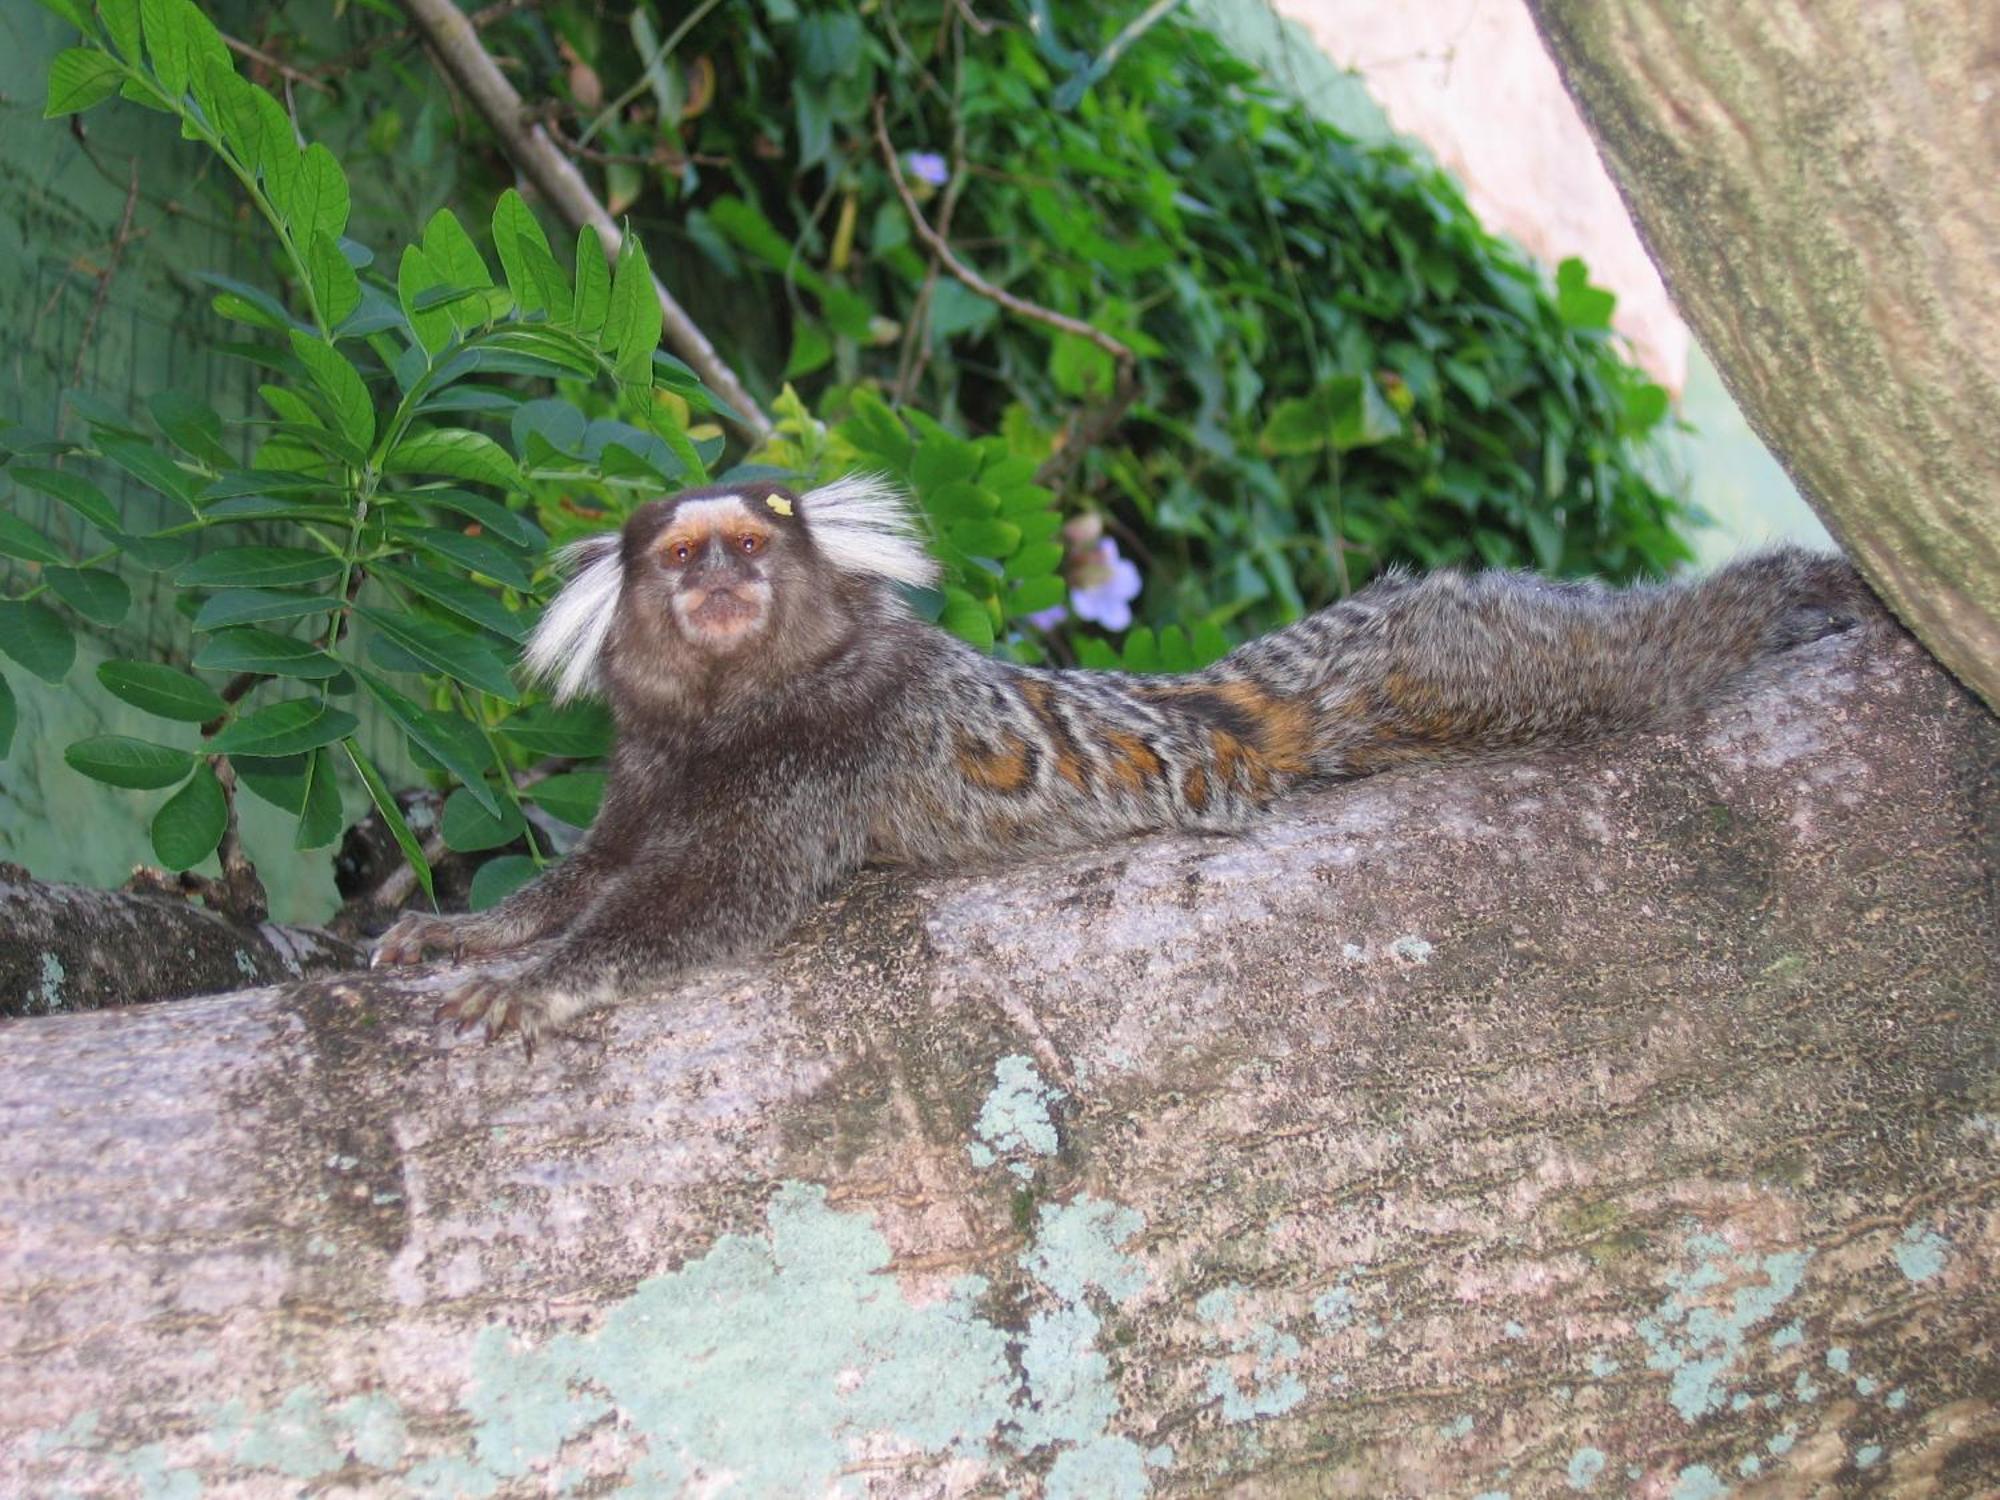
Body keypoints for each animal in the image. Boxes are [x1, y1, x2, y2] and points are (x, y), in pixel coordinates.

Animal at [372, 476, 1856, 1048]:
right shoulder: (647, 761)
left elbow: (702, 905)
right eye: (684, 559)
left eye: (750, 542)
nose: (723, 579)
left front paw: (547, 984)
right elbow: (588, 878)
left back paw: (1795, 594)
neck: (735, 714)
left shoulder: (834, 749)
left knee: (1621, 656)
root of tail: (1243, 705)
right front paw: (471, 931)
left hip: (1453, 658)